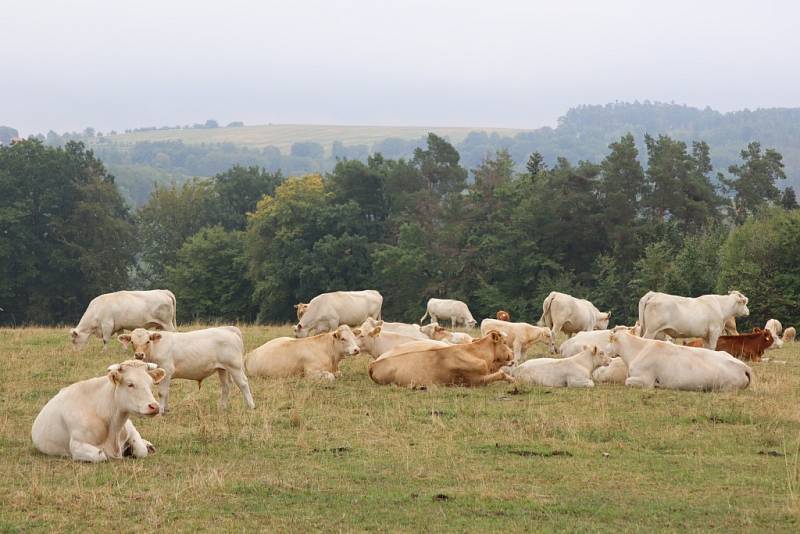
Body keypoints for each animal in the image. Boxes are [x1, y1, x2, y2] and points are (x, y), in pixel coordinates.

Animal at [30, 360, 166, 464]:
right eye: (130, 384)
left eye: (150, 384)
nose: (154, 406)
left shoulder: (131, 432)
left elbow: (141, 450)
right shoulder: (77, 445)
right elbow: (101, 455)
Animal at [117, 326, 255, 414]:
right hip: (222, 368)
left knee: (243, 384)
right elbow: (167, 392)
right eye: (132, 342)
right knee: (225, 386)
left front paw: (160, 411)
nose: (139, 355)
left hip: (235, 367)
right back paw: (222, 407)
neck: (154, 348)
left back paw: (251, 406)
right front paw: (166, 409)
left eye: (147, 341)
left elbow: (162, 392)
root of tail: (228, 329)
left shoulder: (166, 369)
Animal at [368, 330, 512, 390]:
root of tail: (373, 364)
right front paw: (512, 380)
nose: (512, 353)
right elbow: (501, 374)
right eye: (504, 342)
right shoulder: (474, 381)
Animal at [604, 330, 752, 394]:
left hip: (725, 387)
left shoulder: (646, 380)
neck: (637, 351)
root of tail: (744, 366)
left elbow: (627, 382)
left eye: (609, 341)